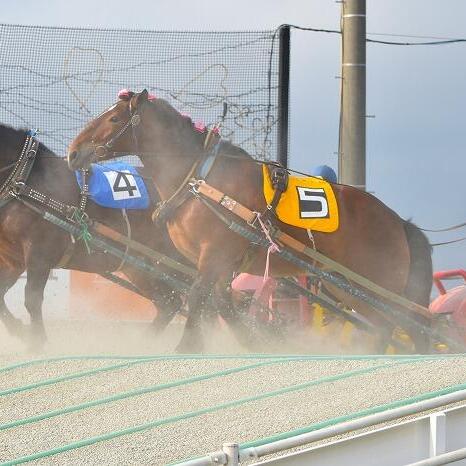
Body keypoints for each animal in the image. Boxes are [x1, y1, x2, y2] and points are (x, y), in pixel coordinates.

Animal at [0, 122, 189, 348]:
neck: (25, 181)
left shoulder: (40, 253)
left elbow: (32, 299)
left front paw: (38, 341)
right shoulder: (13, 259)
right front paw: (19, 330)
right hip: (140, 266)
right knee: (169, 303)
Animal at [66, 90, 434, 354]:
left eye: (114, 119)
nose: (73, 152)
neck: (199, 178)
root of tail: (399, 223)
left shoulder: (213, 256)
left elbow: (198, 296)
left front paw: (187, 345)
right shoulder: (220, 266)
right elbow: (221, 304)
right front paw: (253, 342)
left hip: (375, 286)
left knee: (402, 324)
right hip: (346, 285)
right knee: (396, 325)